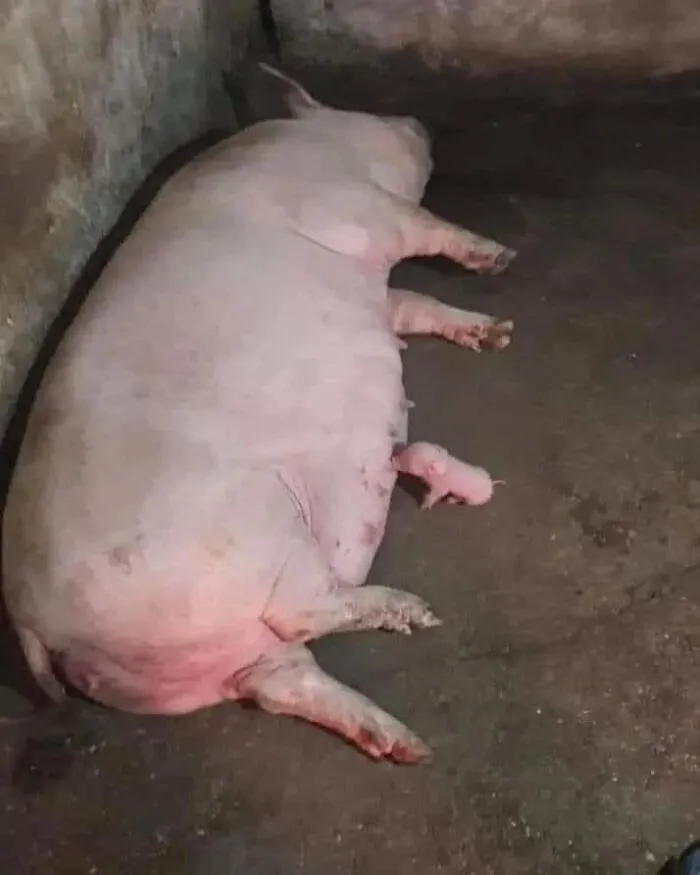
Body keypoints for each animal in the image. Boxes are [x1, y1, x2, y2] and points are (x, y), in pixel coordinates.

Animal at [2, 65, 515, 763]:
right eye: (365, 110)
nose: (416, 121)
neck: (326, 146)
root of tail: (33, 620)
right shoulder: (354, 207)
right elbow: (422, 225)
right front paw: (500, 258)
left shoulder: (377, 289)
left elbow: (413, 302)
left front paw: (498, 334)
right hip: (255, 536)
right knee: (303, 612)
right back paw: (416, 613)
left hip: (203, 649)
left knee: (281, 681)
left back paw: (405, 745)